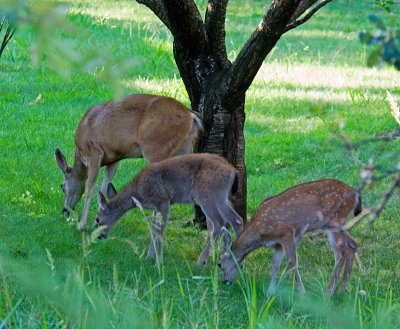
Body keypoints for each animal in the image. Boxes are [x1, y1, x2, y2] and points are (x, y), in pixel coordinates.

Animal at [54, 93, 202, 229]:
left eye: (62, 186)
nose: (64, 210)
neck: (80, 152)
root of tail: (191, 115)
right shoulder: (114, 158)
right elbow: (104, 187)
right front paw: (99, 222)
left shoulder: (94, 152)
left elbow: (90, 188)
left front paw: (82, 225)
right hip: (183, 148)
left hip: (155, 146)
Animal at [94, 152, 244, 266]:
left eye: (97, 219)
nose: (98, 236)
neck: (138, 191)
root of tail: (233, 172)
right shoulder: (155, 207)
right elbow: (153, 229)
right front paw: (149, 257)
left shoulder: (163, 201)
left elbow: (160, 230)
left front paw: (158, 263)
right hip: (221, 197)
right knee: (236, 220)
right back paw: (239, 264)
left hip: (206, 195)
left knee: (218, 222)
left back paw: (200, 262)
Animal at [220, 178, 360, 296]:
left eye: (219, 264)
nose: (225, 281)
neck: (260, 231)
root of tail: (355, 193)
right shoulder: (278, 244)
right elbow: (276, 263)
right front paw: (271, 292)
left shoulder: (287, 232)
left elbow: (292, 261)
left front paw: (302, 293)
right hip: (340, 222)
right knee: (352, 245)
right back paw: (341, 291)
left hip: (334, 220)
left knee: (340, 253)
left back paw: (328, 293)